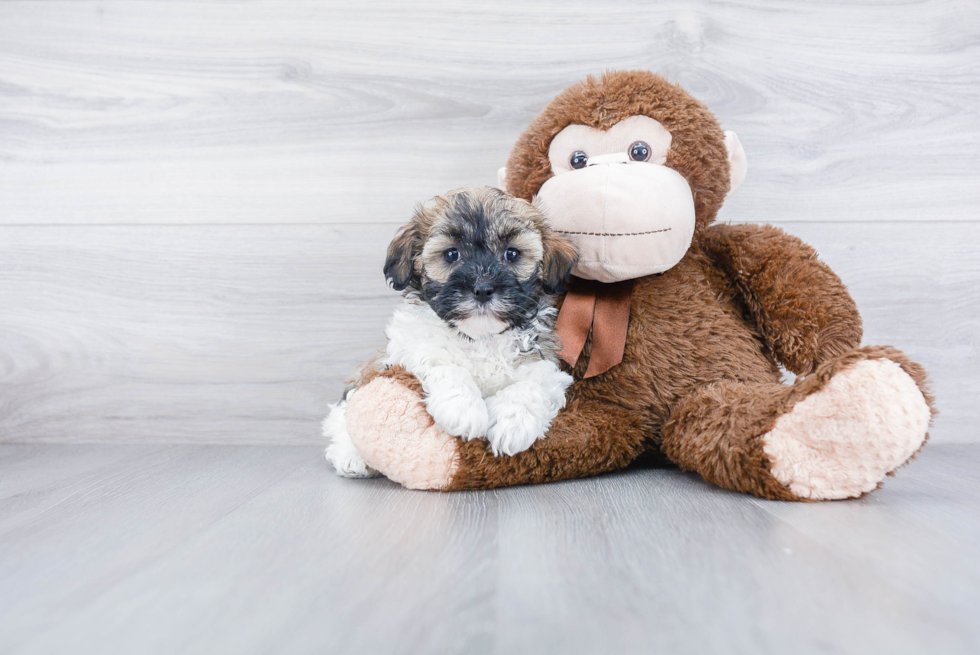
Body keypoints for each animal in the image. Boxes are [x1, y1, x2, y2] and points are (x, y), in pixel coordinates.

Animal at [326, 187, 580, 480]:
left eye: (512, 254)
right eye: (451, 255)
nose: (483, 288)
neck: (480, 337)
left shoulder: (544, 363)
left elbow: (532, 384)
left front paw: (513, 423)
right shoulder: (409, 345)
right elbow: (444, 364)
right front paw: (464, 410)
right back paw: (350, 457)